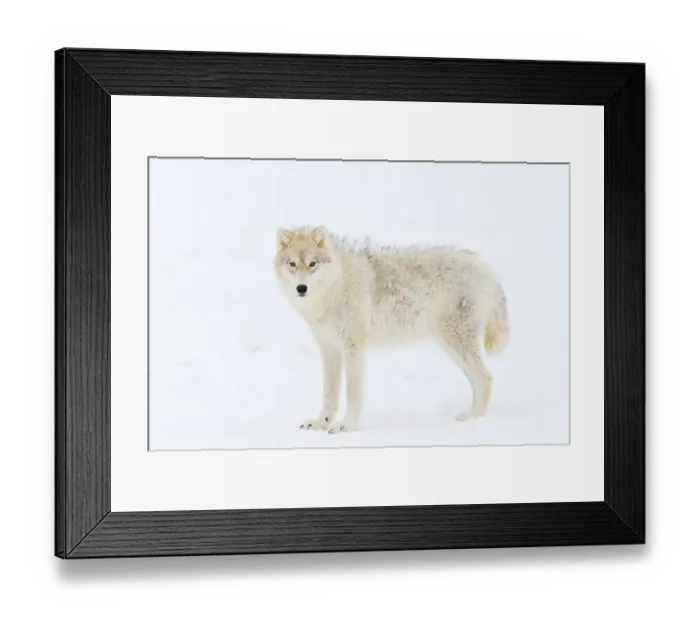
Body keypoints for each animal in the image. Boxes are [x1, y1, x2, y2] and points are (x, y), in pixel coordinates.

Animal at [273, 226, 510, 434]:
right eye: (292, 264)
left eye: (312, 263)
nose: (301, 288)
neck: (333, 289)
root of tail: (486, 269)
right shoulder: (329, 350)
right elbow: (328, 394)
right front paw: (320, 423)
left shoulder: (353, 347)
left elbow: (352, 392)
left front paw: (346, 426)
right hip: (452, 347)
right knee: (480, 380)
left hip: (456, 343)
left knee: (485, 379)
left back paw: (473, 418)